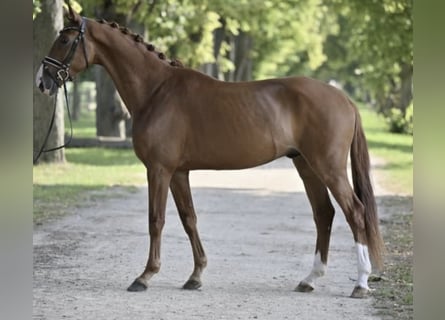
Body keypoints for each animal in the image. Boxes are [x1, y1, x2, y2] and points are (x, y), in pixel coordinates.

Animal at [35, 6, 382, 298]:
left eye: (64, 39)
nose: (43, 81)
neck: (157, 91)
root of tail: (343, 98)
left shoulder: (158, 170)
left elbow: (156, 220)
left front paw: (145, 276)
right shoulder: (178, 172)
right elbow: (189, 218)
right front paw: (195, 276)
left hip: (328, 167)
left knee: (355, 212)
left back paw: (361, 283)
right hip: (306, 166)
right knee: (324, 214)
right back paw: (310, 279)